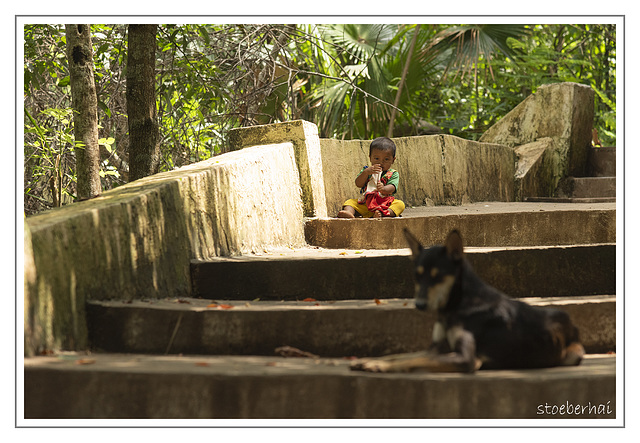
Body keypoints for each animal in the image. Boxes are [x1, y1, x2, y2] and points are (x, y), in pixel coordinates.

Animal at [350, 231, 584, 372]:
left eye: (437, 276)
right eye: (417, 276)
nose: (420, 305)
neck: (456, 305)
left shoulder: (466, 358)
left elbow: (413, 360)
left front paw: (377, 365)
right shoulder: (435, 348)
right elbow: (400, 355)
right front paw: (369, 360)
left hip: (573, 352)